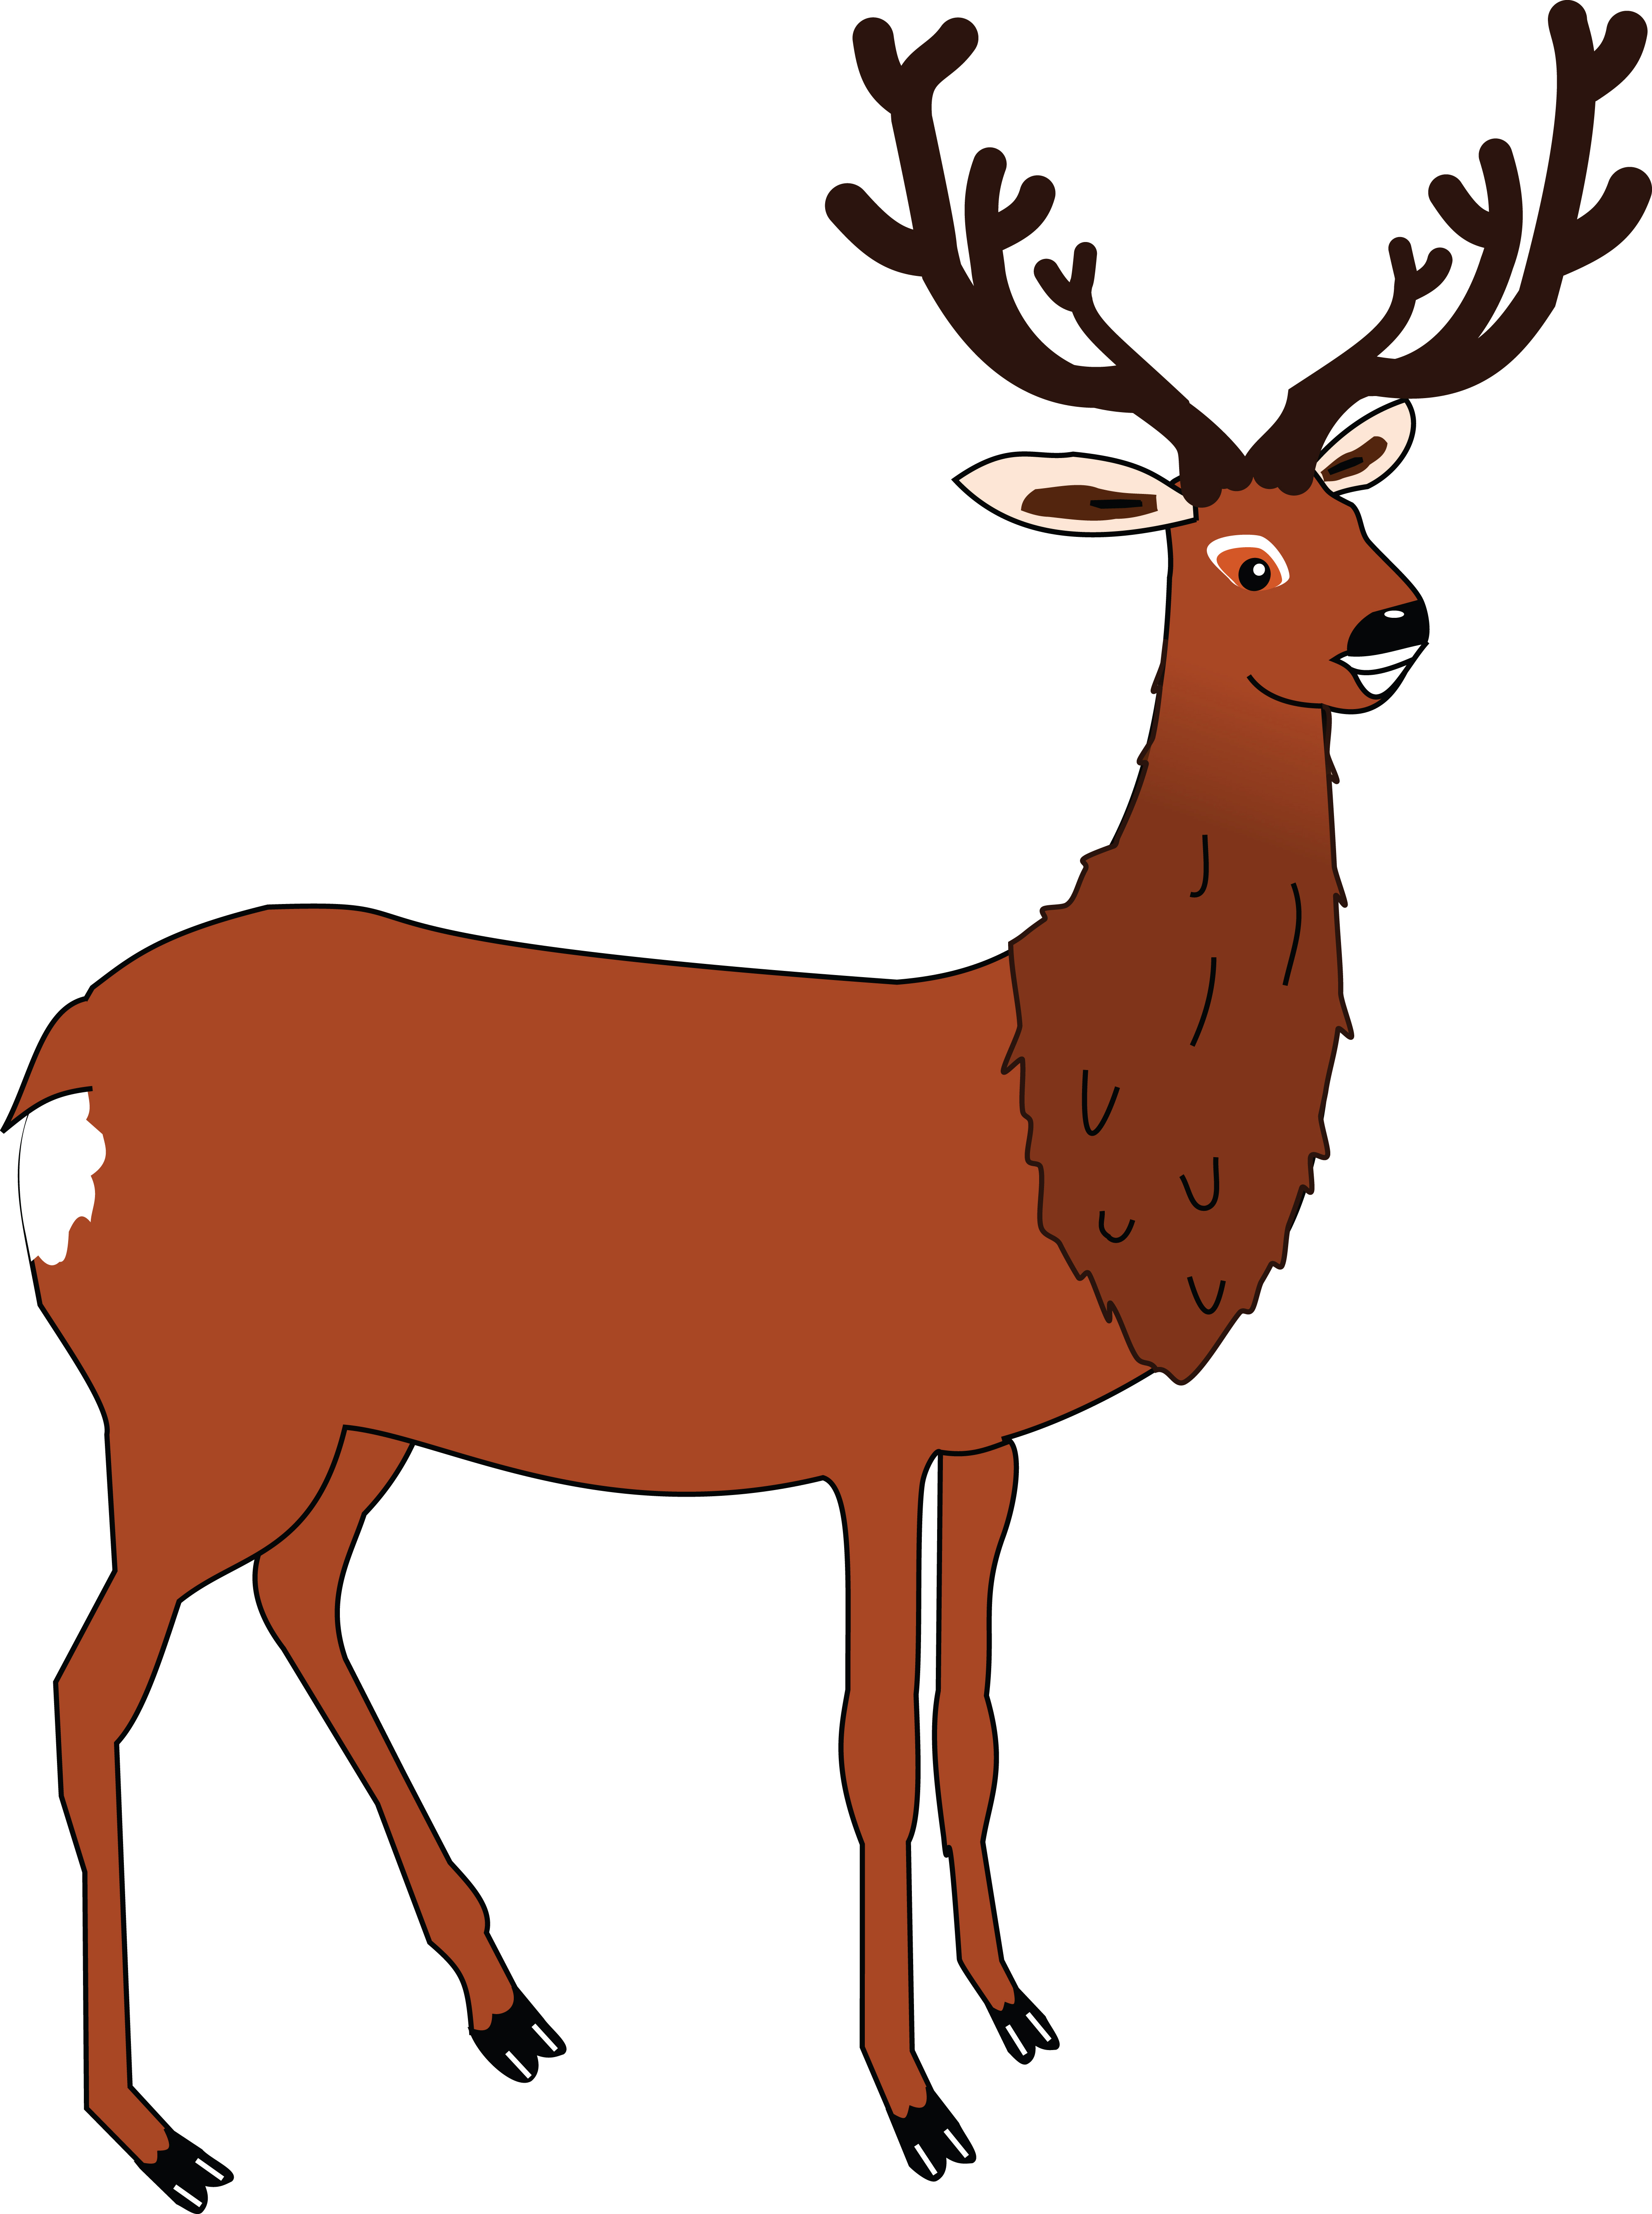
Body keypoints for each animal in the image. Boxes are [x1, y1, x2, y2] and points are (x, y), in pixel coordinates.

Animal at [6, 6, 1646, 2199]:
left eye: (1358, 518)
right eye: (1236, 553)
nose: (1398, 622)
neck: (1049, 1113)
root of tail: (50, 1080)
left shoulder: (989, 1434)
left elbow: (977, 1722)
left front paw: (1022, 2008)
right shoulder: (863, 1425)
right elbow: (868, 1744)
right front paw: (911, 2100)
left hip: (351, 1408)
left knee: (296, 1595)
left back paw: (509, 2006)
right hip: (192, 1393)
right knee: (90, 1679)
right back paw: (163, 2124)